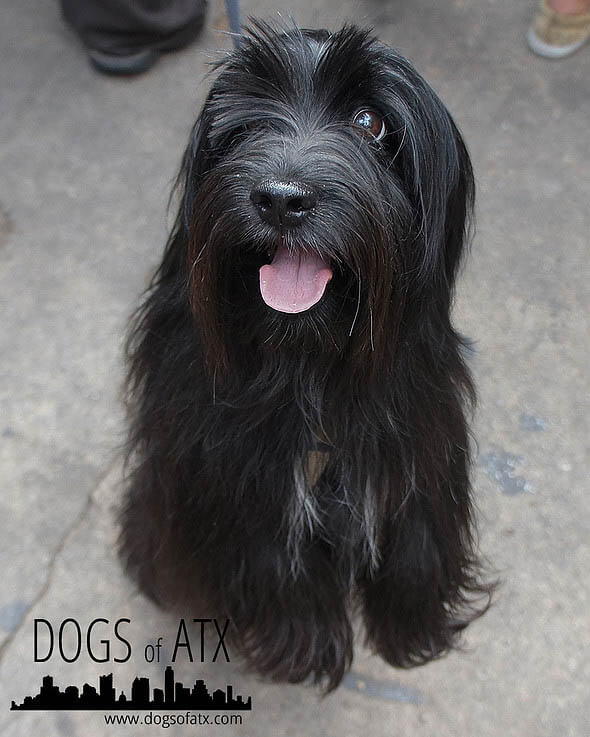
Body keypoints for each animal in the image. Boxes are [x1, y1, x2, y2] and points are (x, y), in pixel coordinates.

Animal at [121, 21, 494, 688]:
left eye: (370, 121)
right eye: (248, 119)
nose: (280, 198)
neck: (307, 359)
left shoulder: (418, 429)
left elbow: (417, 529)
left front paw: (413, 627)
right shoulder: (232, 463)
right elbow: (273, 554)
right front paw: (304, 644)